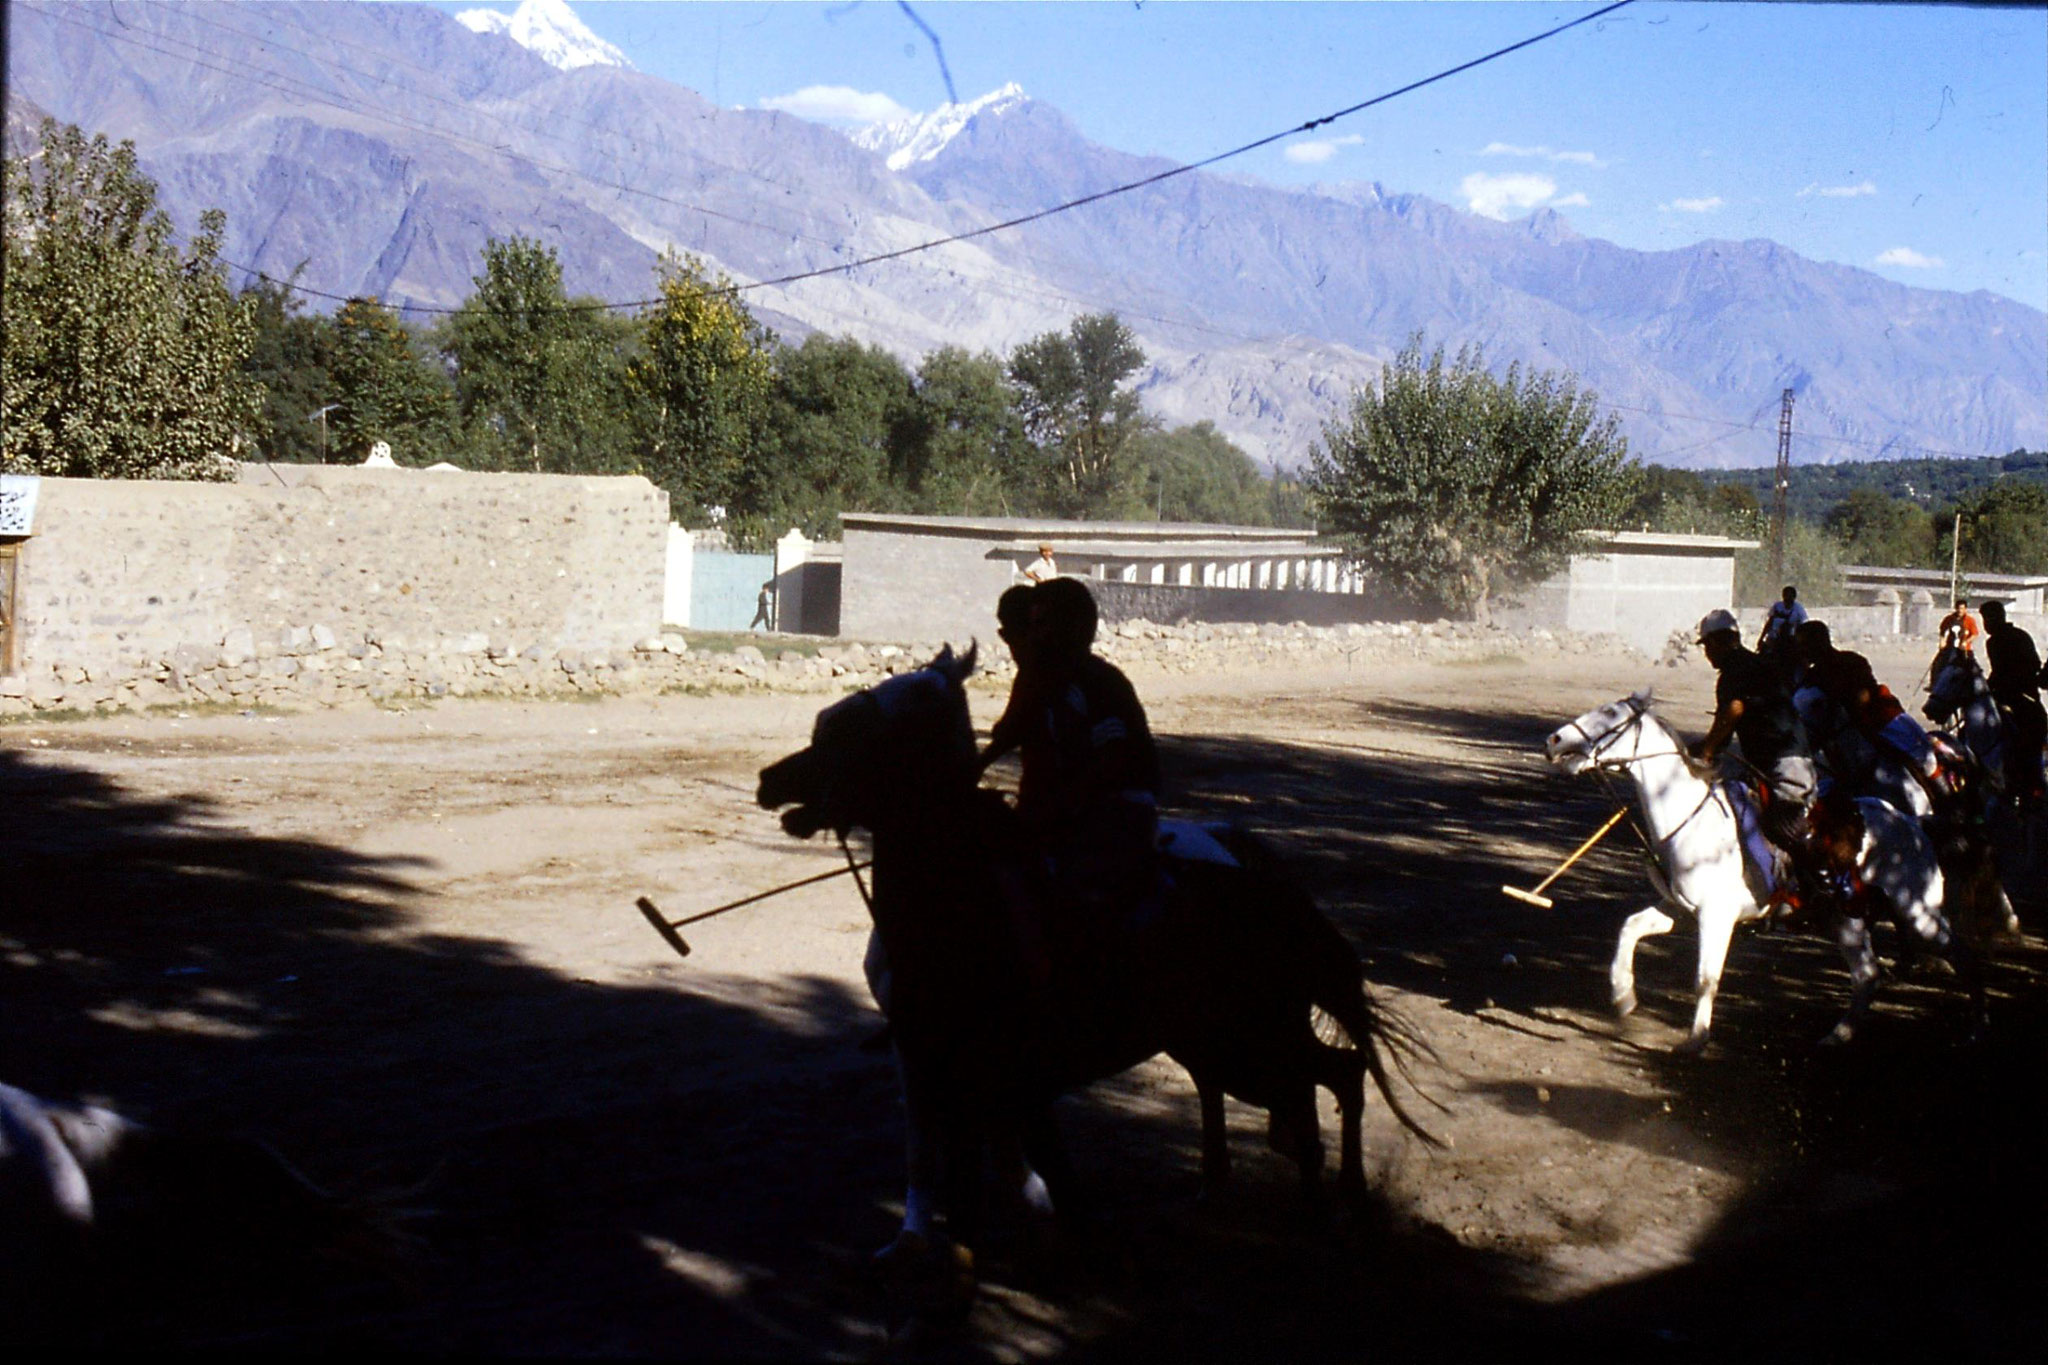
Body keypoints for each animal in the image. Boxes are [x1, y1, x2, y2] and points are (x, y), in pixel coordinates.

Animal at [757, 646, 1441, 1268]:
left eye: (856, 726)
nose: (771, 780)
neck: (962, 907)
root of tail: (1275, 891)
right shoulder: (925, 1055)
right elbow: (935, 1152)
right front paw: (914, 1240)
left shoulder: (1005, 1069)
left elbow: (1026, 1162)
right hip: (1218, 1038)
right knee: (1293, 1084)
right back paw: (1241, 1185)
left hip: (1255, 1037)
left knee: (1336, 1075)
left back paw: (1339, 1200)